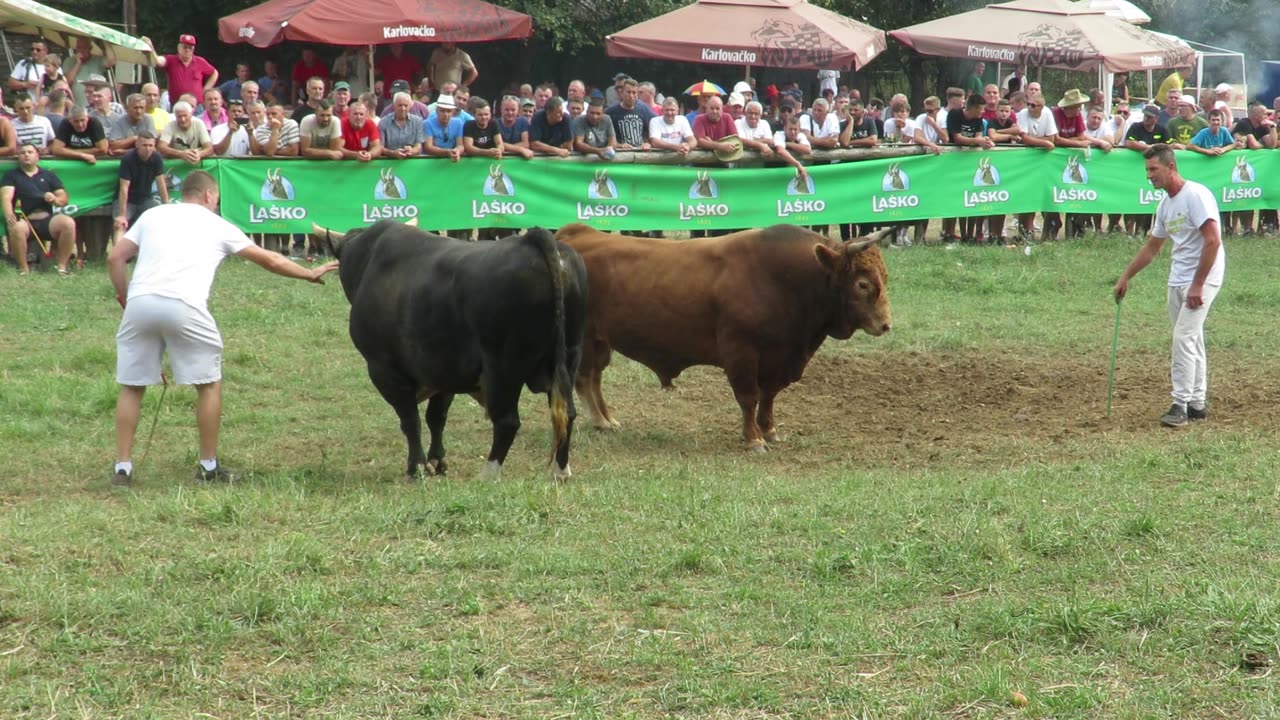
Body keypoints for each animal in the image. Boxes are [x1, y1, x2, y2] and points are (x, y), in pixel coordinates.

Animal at [314, 217, 588, 476]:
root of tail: (532, 240)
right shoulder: (443, 370)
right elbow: (436, 417)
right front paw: (437, 460)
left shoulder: (384, 369)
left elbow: (410, 420)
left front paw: (417, 467)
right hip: (568, 358)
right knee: (566, 413)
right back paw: (561, 471)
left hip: (503, 366)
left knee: (507, 421)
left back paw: (488, 474)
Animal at [555, 224, 896, 448]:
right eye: (862, 283)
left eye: (885, 276)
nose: (885, 325)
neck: (784, 280)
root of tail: (576, 234)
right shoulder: (740, 352)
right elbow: (748, 396)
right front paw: (753, 439)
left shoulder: (778, 360)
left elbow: (768, 397)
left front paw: (769, 430)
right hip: (584, 338)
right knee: (585, 378)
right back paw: (600, 420)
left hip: (601, 341)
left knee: (595, 378)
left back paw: (607, 420)